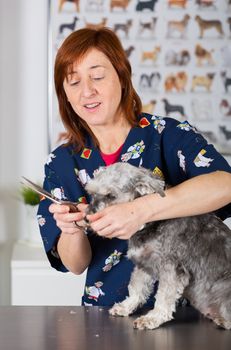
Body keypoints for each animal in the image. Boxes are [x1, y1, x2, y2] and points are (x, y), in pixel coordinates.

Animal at [85, 163, 231, 330]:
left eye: (110, 196)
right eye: (91, 193)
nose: (86, 217)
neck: (150, 223)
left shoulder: (172, 269)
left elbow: (164, 296)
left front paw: (152, 318)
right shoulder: (144, 264)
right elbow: (136, 287)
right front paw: (125, 307)